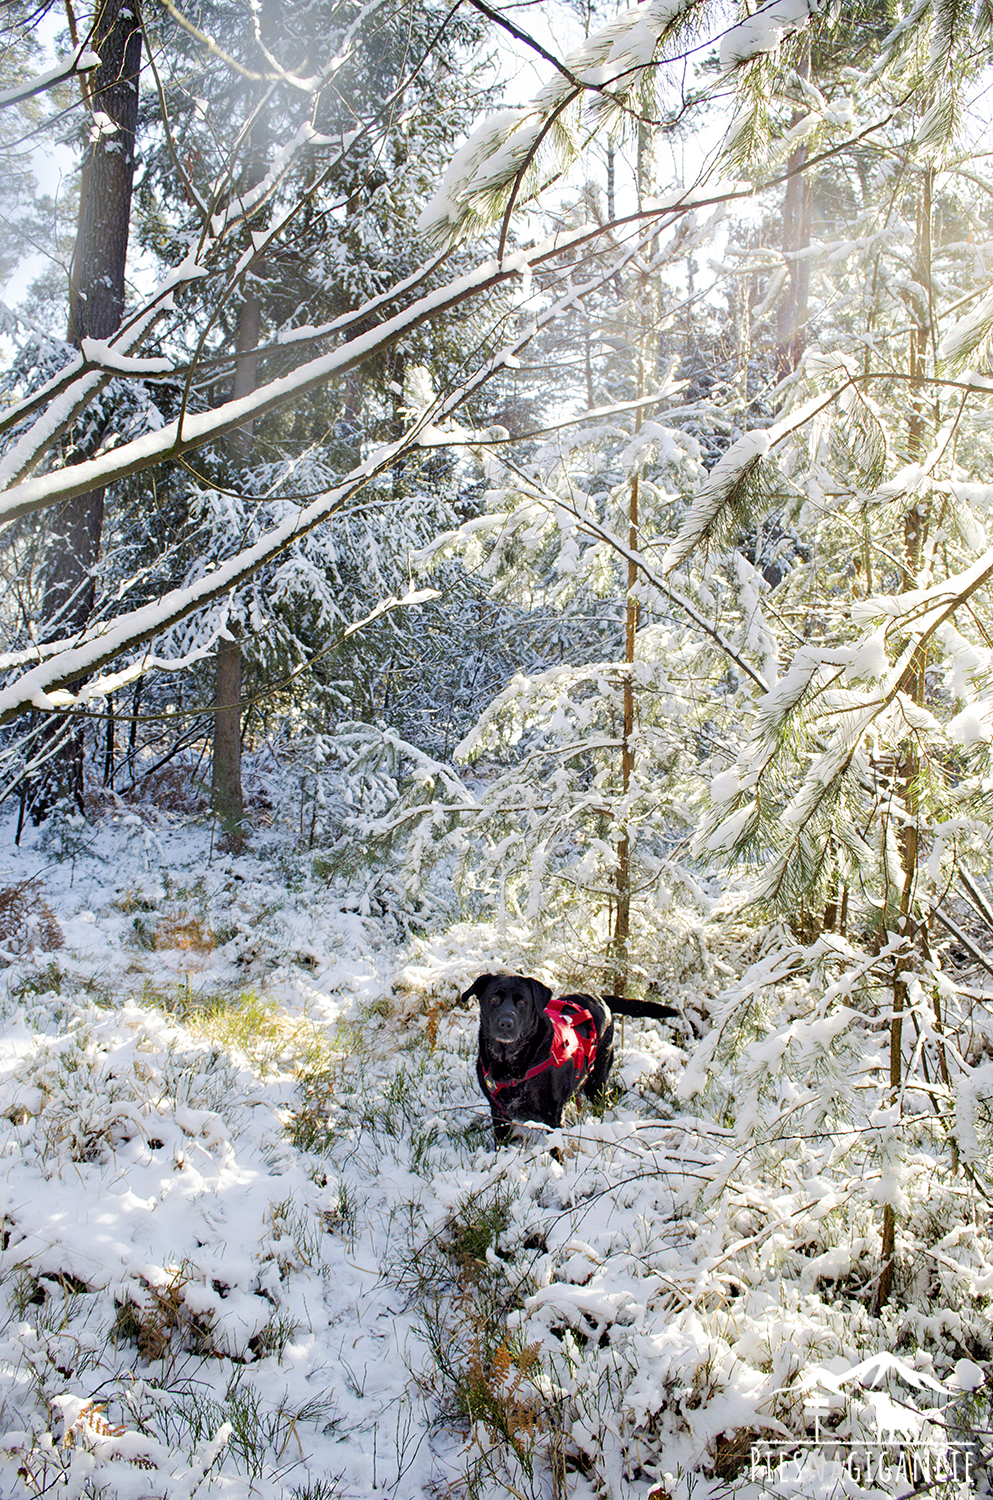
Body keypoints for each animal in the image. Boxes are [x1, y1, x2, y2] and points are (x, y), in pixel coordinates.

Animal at [462, 972, 681, 1146]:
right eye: (493, 999)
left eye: (523, 1002)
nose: (506, 1023)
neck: (510, 1061)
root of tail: (598, 997)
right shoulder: (499, 1115)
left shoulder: (553, 1117)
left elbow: (556, 1149)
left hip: (596, 1081)